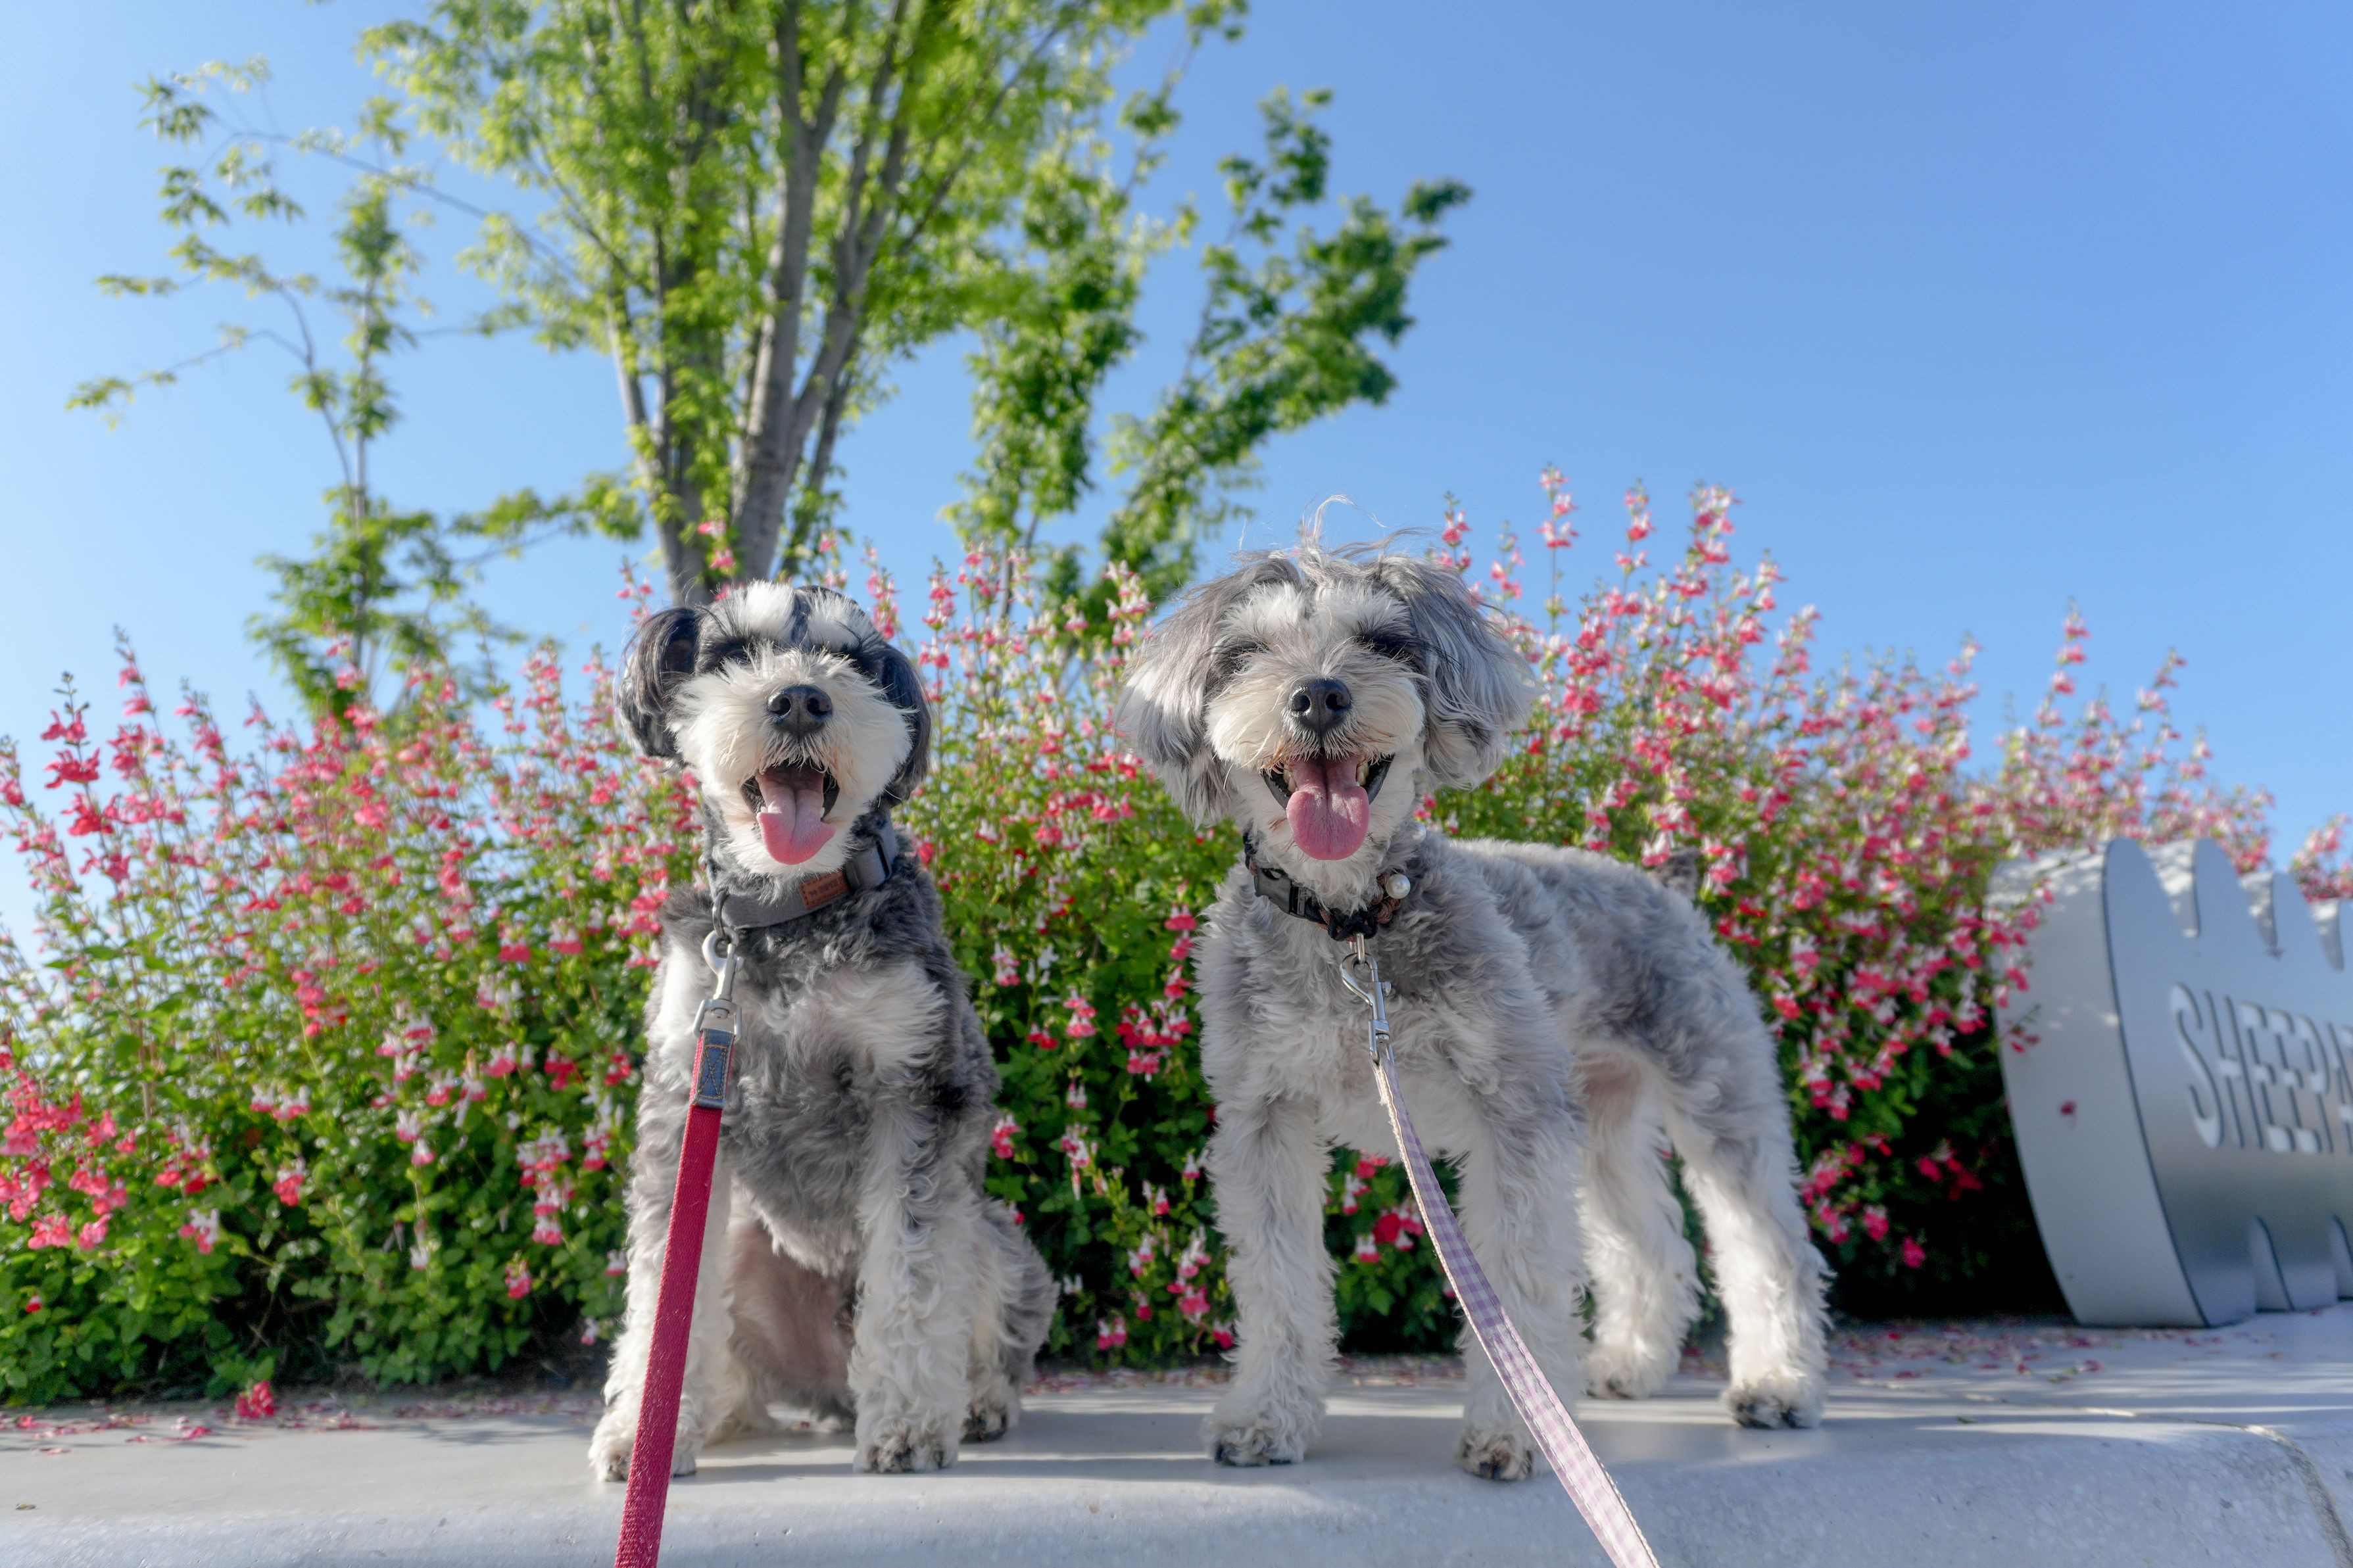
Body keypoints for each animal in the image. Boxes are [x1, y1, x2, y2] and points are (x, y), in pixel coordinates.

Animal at [589, 583, 1054, 1479]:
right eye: (734, 652)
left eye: (852, 661)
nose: (800, 698)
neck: (789, 910)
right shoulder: (685, 1096)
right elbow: (663, 1291)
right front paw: (643, 1433)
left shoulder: (913, 1085)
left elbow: (913, 1275)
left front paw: (907, 1425)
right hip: (745, 1245)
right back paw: (724, 1419)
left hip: (992, 1238)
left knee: (986, 1332)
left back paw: (972, 1404)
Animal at [1115, 543, 1829, 1481]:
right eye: (1245, 654)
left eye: (1383, 641)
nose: (1318, 695)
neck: (1349, 924)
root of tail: (1665, 885)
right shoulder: (1263, 1120)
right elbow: (1277, 1282)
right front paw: (1266, 1417)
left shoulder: (1512, 1119)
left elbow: (1518, 1285)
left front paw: (1516, 1433)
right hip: (1600, 1124)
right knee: (1649, 1245)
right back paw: (1629, 1367)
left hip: (1714, 1099)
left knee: (1765, 1246)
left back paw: (1776, 1385)